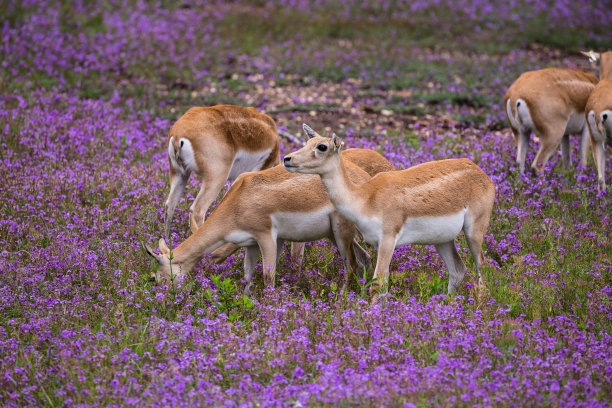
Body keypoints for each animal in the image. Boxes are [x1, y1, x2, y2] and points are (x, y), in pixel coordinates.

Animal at [145, 145, 396, 292]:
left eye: (158, 277)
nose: (168, 300)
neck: (239, 199)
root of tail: (363, 179)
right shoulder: (250, 244)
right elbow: (248, 276)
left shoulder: (266, 236)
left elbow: (268, 275)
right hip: (334, 236)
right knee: (363, 259)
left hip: (341, 234)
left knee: (351, 264)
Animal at [284, 124, 498, 300]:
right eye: (307, 142)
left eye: (322, 147)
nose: (287, 159)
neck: (366, 198)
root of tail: (481, 173)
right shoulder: (379, 244)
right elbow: (384, 284)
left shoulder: (388, 239)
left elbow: (377, 284)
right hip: (442, 240)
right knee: (458, 270)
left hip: (474, 232)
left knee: (483, 269)